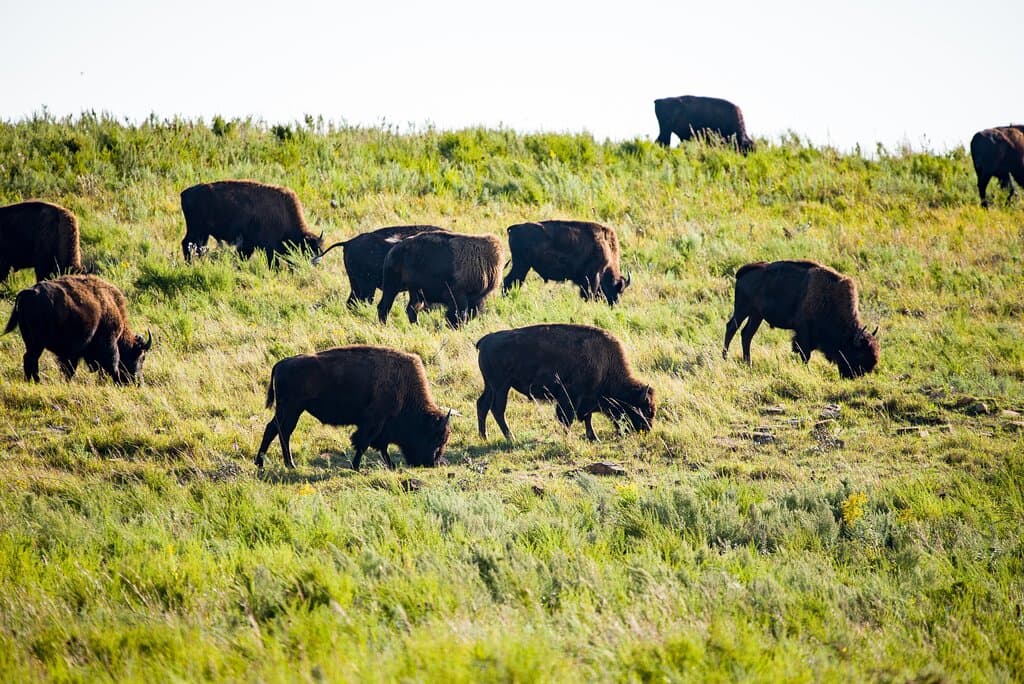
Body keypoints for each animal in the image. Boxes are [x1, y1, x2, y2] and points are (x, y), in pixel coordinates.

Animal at [3, 275, 152, 384]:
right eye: (142, 357)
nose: (138, 382)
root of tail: (28, 293)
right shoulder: (108, 342)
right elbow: (112, 364)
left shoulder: (71, 353)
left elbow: (69, 369)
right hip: (37, 343)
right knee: (30, 358)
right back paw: (36, 381)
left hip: (30, 341)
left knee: (29, 359)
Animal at [180, 180, 324, 263]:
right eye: (308, 250)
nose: (317, 262)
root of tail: (185, 193)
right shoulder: (267, 248)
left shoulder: (248, 245)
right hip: (196, 230)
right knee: (187, 244)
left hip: (203, 233)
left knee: (198, 248)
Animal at [256, 346, 452, 470]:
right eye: (435, 437)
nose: (431, 463)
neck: (404, 388)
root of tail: (281, 364)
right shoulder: (374, 423)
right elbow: (364, 444)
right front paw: (356, 467)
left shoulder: (380, 427)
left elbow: (381, 446)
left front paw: (390, 465)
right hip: (290, 409)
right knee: (277, 430)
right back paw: (278, 464)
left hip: (292, 410)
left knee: (278, 430)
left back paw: (272, 463)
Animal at [475, 324, 656, 441]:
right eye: (645, 410)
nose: (646, 429)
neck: (605, 363)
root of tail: (486, 339)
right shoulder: (572, 397)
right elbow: (568, 418)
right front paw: (570, 436)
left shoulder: (586, 399)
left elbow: (587, 418)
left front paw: (593, 437)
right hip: (501, 387)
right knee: (497, 409)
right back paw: (510, 438)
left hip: (491, 386)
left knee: (482, 405)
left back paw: (484, 437)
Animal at [723, 260, 879, 378]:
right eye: (859, 354)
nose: (855, 376)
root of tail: (743, 272)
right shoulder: (803, 332)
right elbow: (805, 354)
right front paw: (807, 371)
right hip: (742, 310)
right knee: (731, 328)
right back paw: (725, 358)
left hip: (756, 315)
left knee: (746, 335)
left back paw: (747, 363)